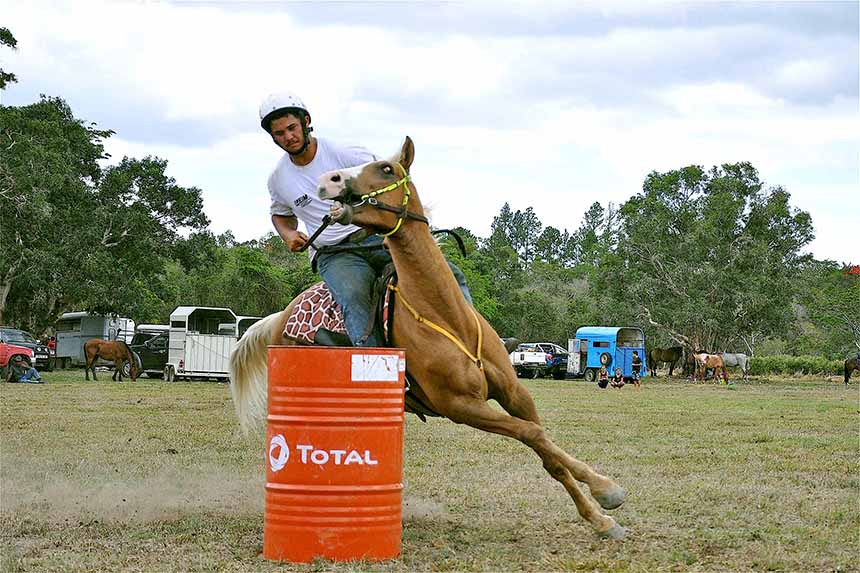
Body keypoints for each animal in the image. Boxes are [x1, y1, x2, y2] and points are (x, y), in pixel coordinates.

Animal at [229, 137, 627, 539]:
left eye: (387, 169)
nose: (330, 179)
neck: (446, 318)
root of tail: (281, 317)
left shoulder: (514, 391)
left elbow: (545, 447)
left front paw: (602, 514)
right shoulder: (461, 407)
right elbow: (533, 434)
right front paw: (607, 492)